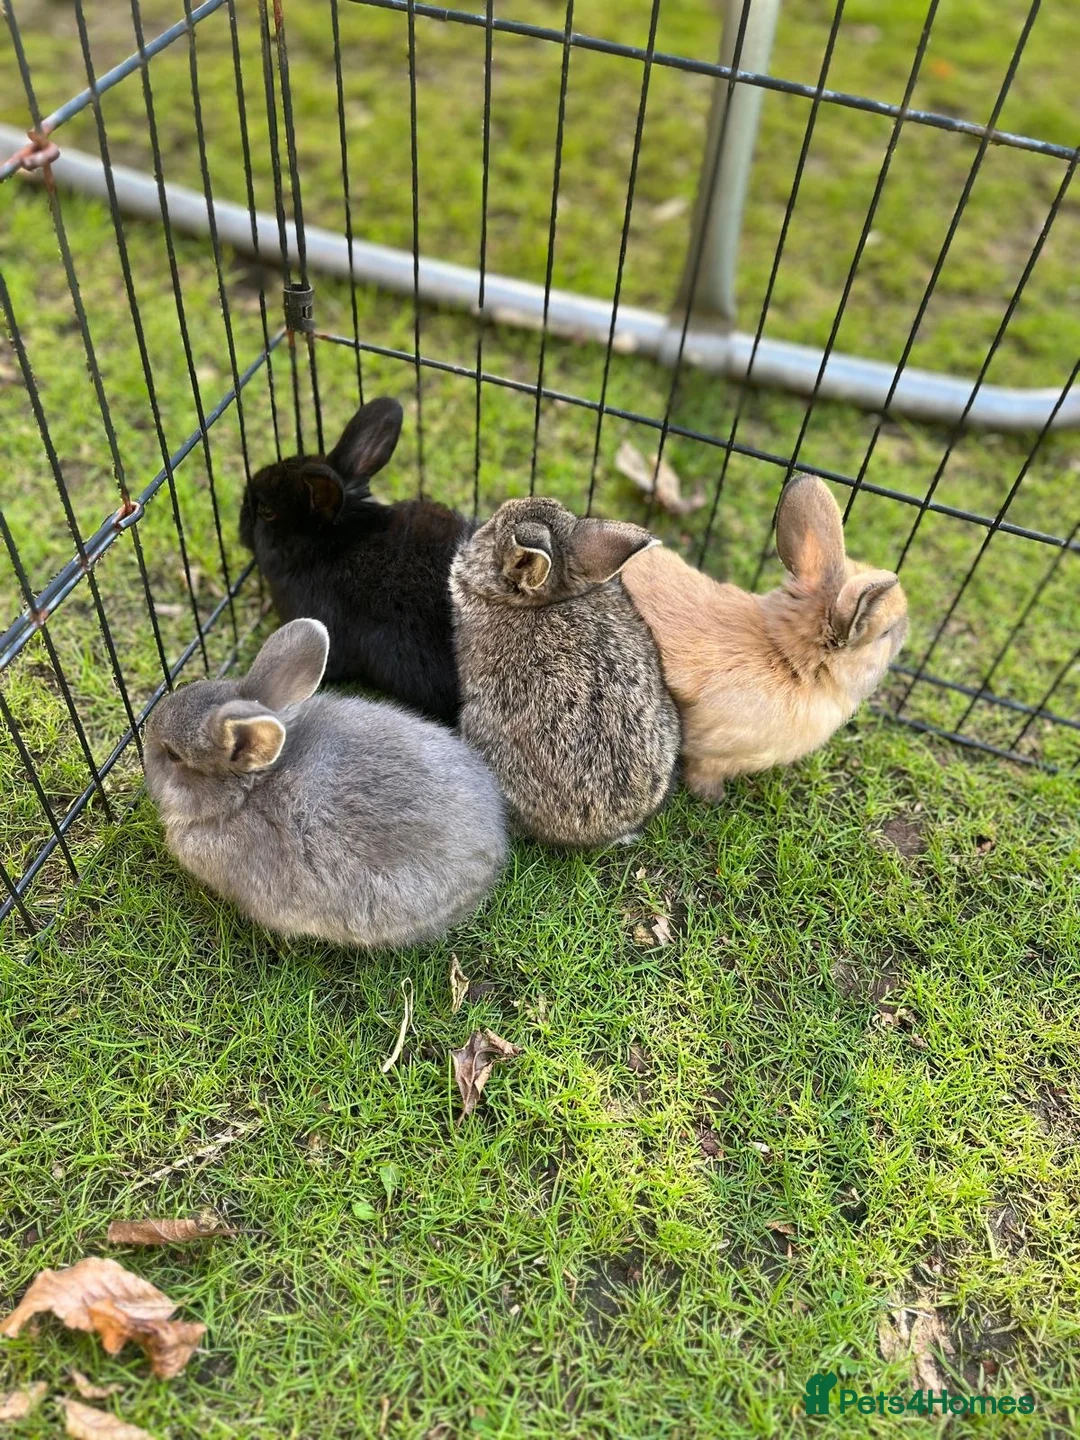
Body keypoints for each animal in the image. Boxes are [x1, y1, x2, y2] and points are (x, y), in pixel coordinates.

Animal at [621, 473, 909, 801]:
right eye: (886, 632)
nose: (907, 629)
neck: (787, 657)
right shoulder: (711, 753)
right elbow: (702, 772)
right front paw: (714, 798)